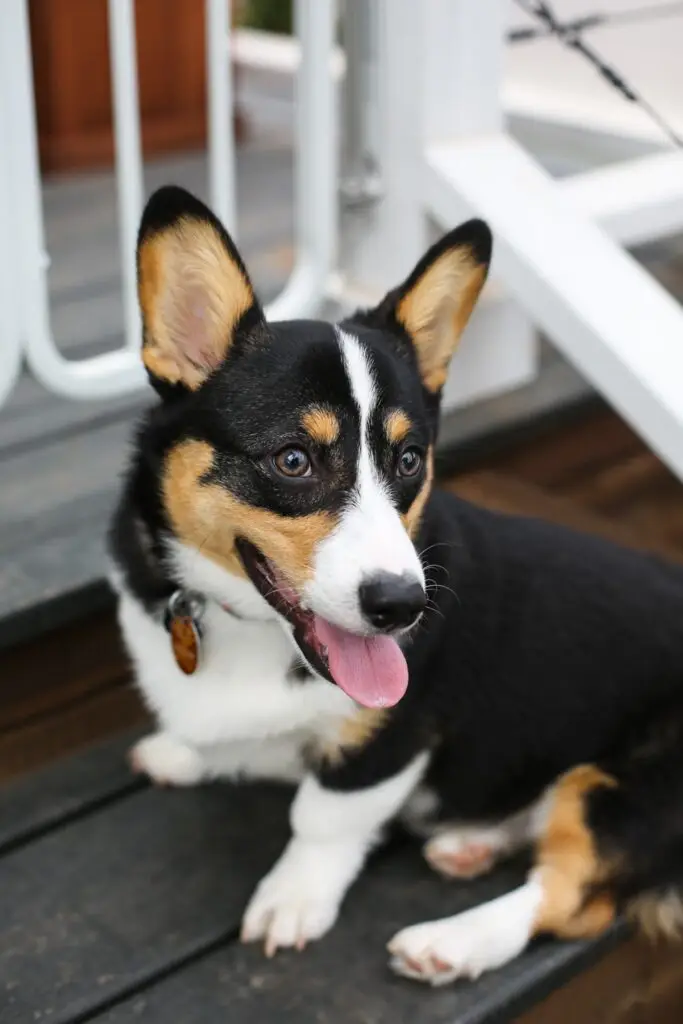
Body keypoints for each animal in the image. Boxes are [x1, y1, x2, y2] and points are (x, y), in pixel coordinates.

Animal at [108, 184, 683, 983]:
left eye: (409, 460)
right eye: (293, 460)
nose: (403, 607)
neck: (244, 625)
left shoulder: (394, 735)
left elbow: (322, 816)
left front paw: (293, 900)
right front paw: (183, 754)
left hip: (629, 791)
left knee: (571, 898)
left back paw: (453, 941)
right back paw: (472, 843)